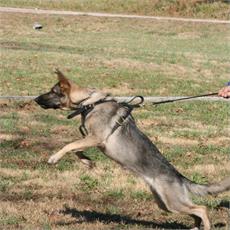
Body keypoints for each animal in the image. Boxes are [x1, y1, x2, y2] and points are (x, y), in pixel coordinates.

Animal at [34, 69, 230, 230]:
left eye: (53, 91)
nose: (35, 99)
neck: (90, 103)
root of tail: (180, 178)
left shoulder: (96, 138)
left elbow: (69, 145)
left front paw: (54, 157)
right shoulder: (92, 139)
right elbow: (75, 149)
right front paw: (87, 162)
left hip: (173, 202)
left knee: (202, 209)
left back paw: (206, 225)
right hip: (166, 204)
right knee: (194, 212)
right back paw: (196, 227)